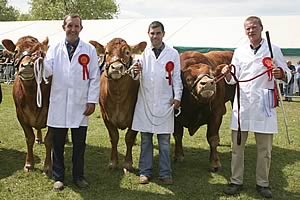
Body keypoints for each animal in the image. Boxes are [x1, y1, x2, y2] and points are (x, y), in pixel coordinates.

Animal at [1, 36, 51, 175]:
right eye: (16, 51)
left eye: (39, 52)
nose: (28, 65)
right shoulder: (21, 116)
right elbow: (29, 138)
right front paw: (29, 164)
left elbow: (49, 140)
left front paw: (48, 167)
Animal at [89, 38, 146, 171]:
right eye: (106, 52)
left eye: (127, 52)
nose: (116, 67)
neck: (118, 97)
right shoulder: (105, 116)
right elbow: (114, 137)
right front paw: (113, 162)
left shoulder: (134, 116)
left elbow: (129, 137)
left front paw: (128, 163)